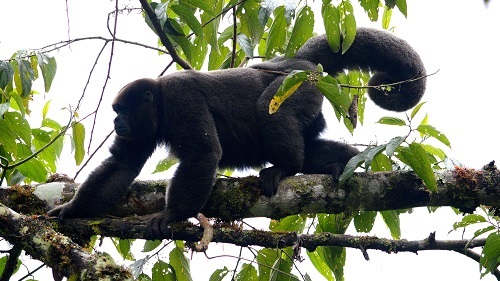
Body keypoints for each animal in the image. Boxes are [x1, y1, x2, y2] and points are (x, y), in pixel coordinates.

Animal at [48, 27, 426, 235]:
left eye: (122, 110)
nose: (116, 122)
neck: (160, 102)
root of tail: (291, 61)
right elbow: (122, 165)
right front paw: (72, 211)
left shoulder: (182, 97)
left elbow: (204, 154)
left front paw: (171, 214)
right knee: (310, 146)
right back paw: (344, 160)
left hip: (297, 85)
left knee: (269, 114)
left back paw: (286, 167)